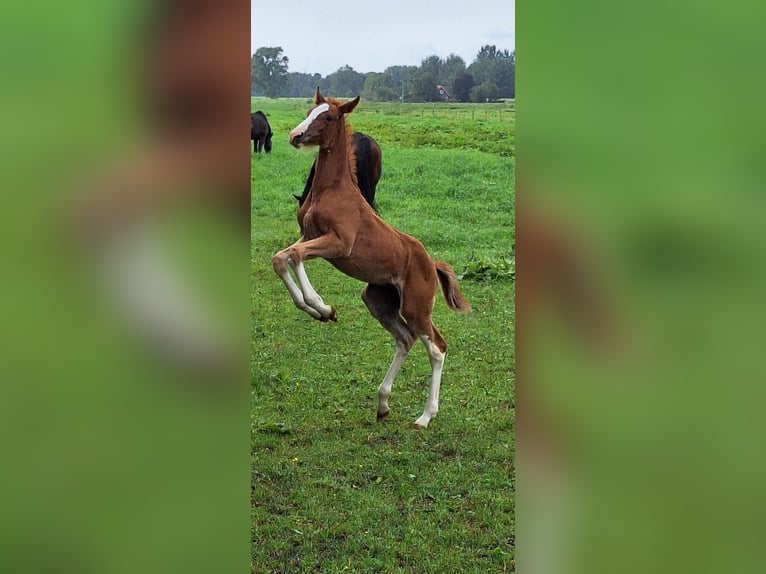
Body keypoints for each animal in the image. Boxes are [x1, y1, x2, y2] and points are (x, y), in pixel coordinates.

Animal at [272, 90, 472, 430]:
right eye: (310, 111)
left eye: (328, 117)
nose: (295, 136)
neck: (331, 189)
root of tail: (431, 264)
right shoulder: (307, 236)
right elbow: (280, 258)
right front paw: (321, 312)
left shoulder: (338, 244)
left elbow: (294, 257)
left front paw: (322, 307)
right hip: (377, 299)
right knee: (405, 339)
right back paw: (383, 404)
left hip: (416, 306)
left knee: (437, 347)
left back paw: (424, 417)